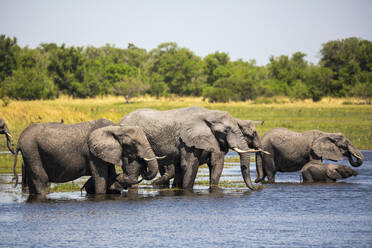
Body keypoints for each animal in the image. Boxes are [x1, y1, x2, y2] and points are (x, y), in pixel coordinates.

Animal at [11, 118, 160, 196]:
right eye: (134, 143)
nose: (142, 162)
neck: (117, 127)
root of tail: (19, 141)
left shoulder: (105, 152)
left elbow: (110, 175)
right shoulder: (92, 153)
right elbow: (101, 179)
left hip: (29, 154)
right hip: (32, 150)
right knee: (42, 179)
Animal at [119, 105, 264, 189]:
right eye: (226, 131)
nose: (255, 188)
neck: (209, 114)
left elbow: (215, 165)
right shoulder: (186, 140)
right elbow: (189, 165)